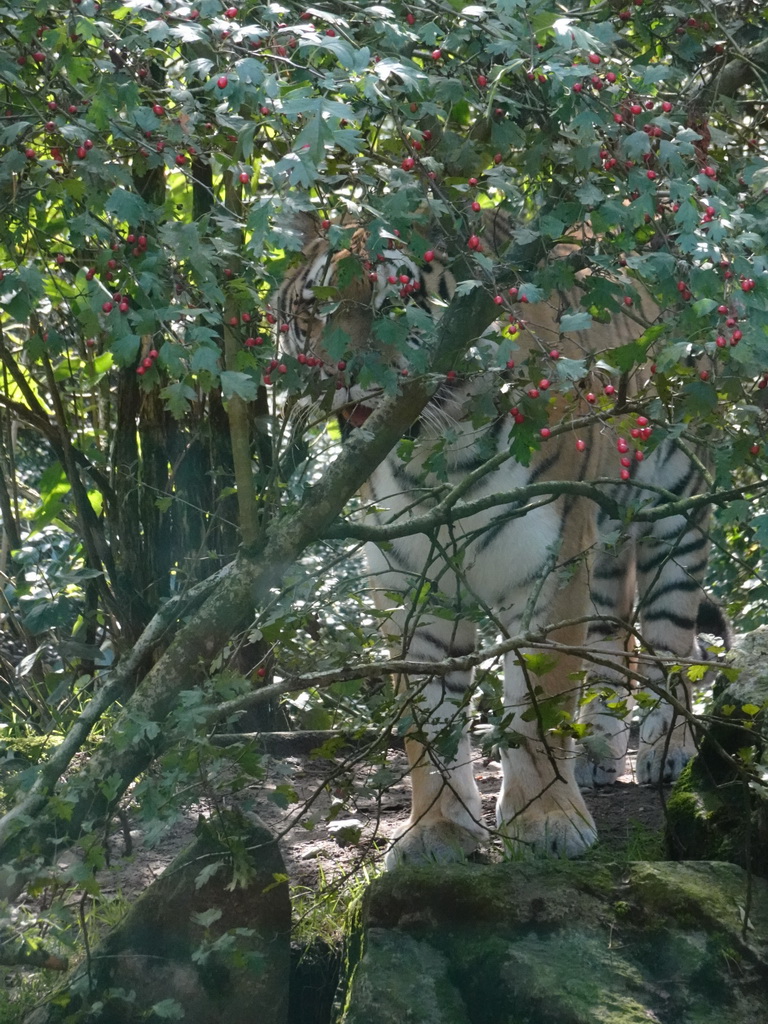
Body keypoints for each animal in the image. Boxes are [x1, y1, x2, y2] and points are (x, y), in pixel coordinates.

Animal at [274, 209, 708, 864]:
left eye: (392, 304)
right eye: (311, 312)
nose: (336, 378)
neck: (438, 457)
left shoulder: (548, 571)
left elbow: (538, 707)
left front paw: (547, 820)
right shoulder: (413, 587)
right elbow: (427, 721)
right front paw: (436, 829)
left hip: (677, 501)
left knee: (674, 640)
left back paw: (671, 746)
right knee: (612, 632)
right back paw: (599, 749)